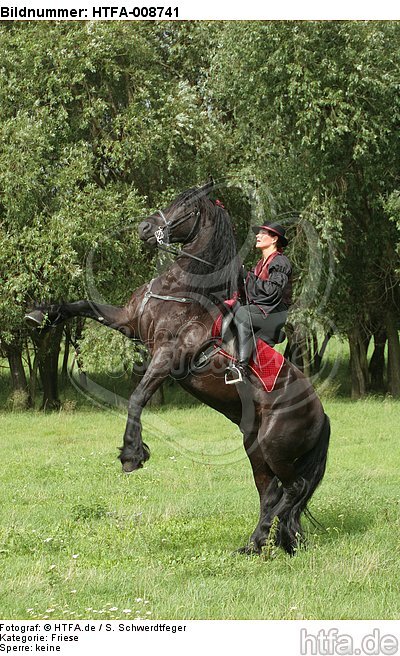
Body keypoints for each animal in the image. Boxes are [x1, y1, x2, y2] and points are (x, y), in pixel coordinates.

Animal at [25, 180, 330, 555]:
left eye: (186, 208)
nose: (144, 228)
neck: (183, 288)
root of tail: (320, 412)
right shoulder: (127, 321)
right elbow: (83, 304)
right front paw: (40, 314)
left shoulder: (167, 356)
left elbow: (137, 398)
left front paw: (132, 454)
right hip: (256, 446)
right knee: (272, 494)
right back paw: (257, 545)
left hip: (276, 449)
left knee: (291, 490)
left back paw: (270, 541)